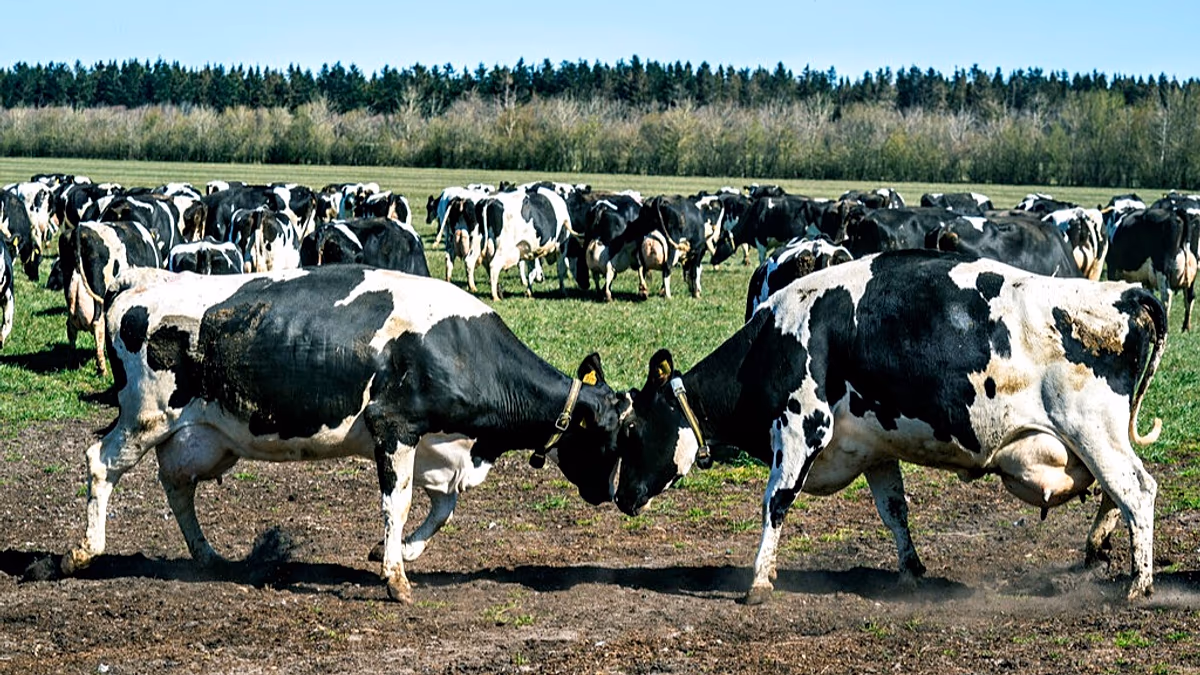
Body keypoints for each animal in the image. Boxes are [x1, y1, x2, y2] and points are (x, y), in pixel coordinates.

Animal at [59, 220, 161, 375]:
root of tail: (79, 228)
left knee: (71, 327)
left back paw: (73, 362)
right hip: (99, 295)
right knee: (98, 325)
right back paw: (102, 368)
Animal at [60, 265, 629, 604]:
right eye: (613, 435)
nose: (617, 496)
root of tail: (141, 281)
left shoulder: (440, 447)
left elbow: (443, 508)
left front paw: (398, 553)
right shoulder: (394, 427)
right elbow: (398, 503)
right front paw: (396, 577)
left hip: (198, 436)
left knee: (177, 485)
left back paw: (206, 556)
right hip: (145, 417)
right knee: (99, 462)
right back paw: (83, 551)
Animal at [612, 249, 1166, 604]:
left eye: (632, 431)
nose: (620, 497)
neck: (776, 340)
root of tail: (1123, 293)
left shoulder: (800, 428)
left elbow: (775, 504)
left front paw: (758, 583)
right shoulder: (873, 448)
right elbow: (895, 511)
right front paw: (911, 570)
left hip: (1092, 430)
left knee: (1136, 489)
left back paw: (1138, 585)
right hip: (1098, 437)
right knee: (1116, 493)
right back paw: (1099, 548)